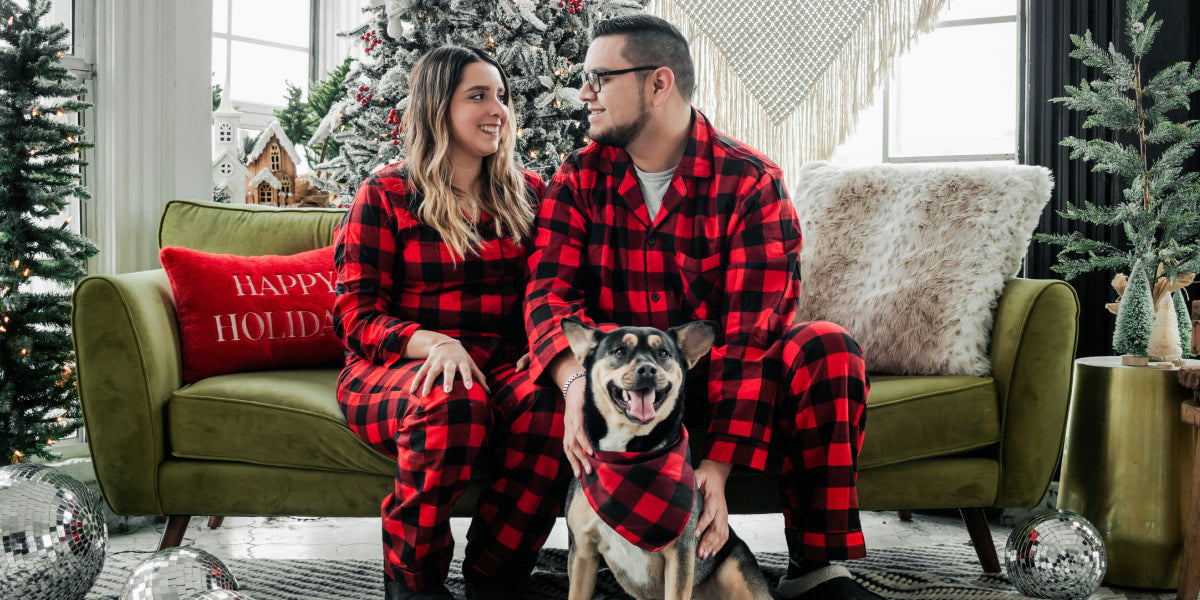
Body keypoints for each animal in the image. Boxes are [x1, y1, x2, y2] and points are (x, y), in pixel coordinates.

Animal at [559, 316, 772, 597]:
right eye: (620, 351)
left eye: (663, 353)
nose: (647, 370)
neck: (630, 456)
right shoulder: (583, 553)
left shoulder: (680, 555)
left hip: (736, 572)